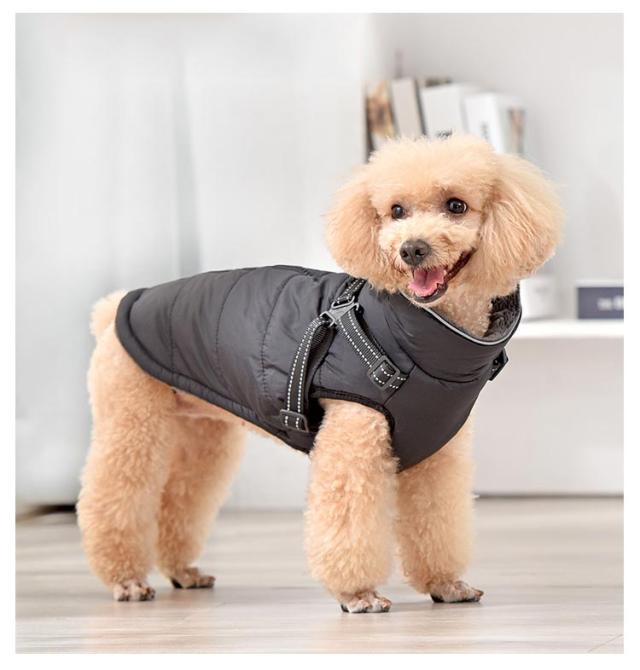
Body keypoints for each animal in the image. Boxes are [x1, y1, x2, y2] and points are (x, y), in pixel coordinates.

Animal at [77, 134, 562, 612]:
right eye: (396, 211)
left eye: (456, 205)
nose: (411, 248)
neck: (419, 337)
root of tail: (117, 307)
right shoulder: (354, 437)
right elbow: (349, 518)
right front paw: (357, 594)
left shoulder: (438, 456)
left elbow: (438, 522)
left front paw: (446, 583)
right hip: (131, 421)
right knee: (115, 496)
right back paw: (126, 580)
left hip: (201, 435)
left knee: (179, 498)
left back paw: (183, 572)